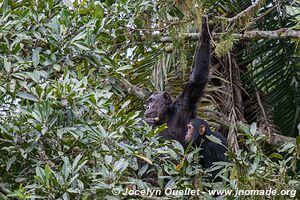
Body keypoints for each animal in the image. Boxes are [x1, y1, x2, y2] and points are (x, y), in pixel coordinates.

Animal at [144, 16, 211, 146]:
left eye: (152, 101)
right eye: (148, 101)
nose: (147, 107)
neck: (167, 116)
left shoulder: (185, 103)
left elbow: (197, 78)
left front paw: (205, 32)